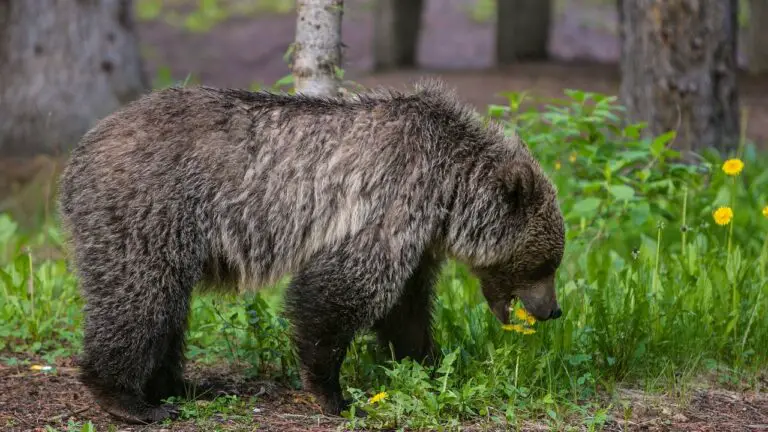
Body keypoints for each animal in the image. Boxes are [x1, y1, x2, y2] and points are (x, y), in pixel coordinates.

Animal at [58, 79, 564, 424]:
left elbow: (405, 309)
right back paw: (129, 399)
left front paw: (429, 362)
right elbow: (336, 293)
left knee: (167, 309)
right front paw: (333, 393)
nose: (553, 310)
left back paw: (177, 386)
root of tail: (82, 148)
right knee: (139, 297)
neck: (449, 192)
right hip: (149, 212)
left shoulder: (415, 241)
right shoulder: (387, 205)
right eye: (545, 264)